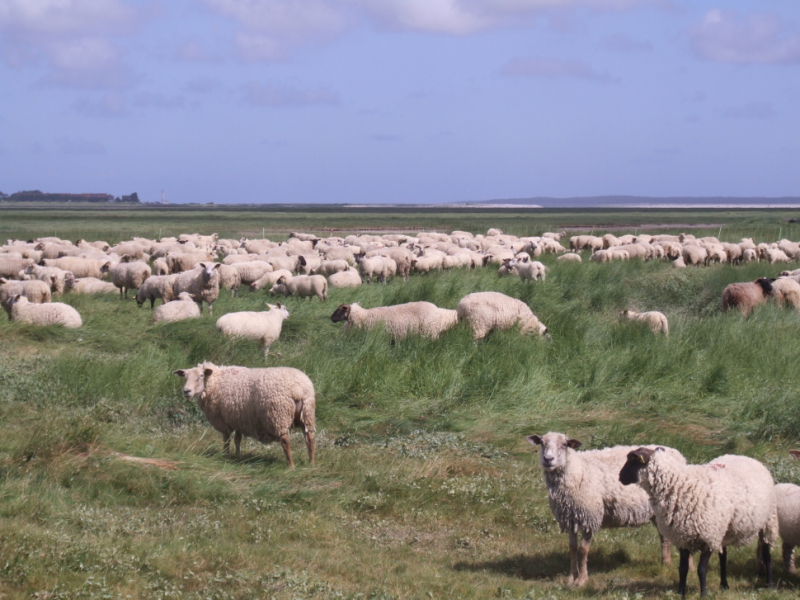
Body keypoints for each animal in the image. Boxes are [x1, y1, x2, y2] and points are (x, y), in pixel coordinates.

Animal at [173, 360, 316, 468]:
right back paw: (311, 462)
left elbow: (226, 439)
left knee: (285, 440)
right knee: (310, 437)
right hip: (307, 414)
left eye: (200, 376)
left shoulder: (223, 420)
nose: (186, 391)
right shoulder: (239, 419)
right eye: (185, 377)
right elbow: (237, 440)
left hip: (278, 415)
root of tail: (298, 388)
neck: (215, 381)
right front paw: (238, 456)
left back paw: (290, 465)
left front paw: (226, 456)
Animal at [524, 434, 680, 588]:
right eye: (542, 443)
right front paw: (571, 578)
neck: (577, 470)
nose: (548, 459)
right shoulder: (571, 518)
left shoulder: (590, 517)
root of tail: (675, 452)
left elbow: (583, 550)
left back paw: (666, 564)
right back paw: (664, 563)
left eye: (564, 444)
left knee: (665, 537)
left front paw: (582, 580)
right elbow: (572, 548)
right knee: (663, 536)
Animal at [616, 448, 780, 596]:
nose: (620, 478)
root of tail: (746, 457)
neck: (677, 486)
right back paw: (724, 584)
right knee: (723, 556)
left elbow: (702, 569)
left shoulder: (707, 536)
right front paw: (680, 592)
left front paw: (703, 594)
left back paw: (769, 584)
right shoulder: (683, 536)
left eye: (632, 460)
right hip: (722, 528)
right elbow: (682, 568)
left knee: (767, 553)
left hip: (768, 520)